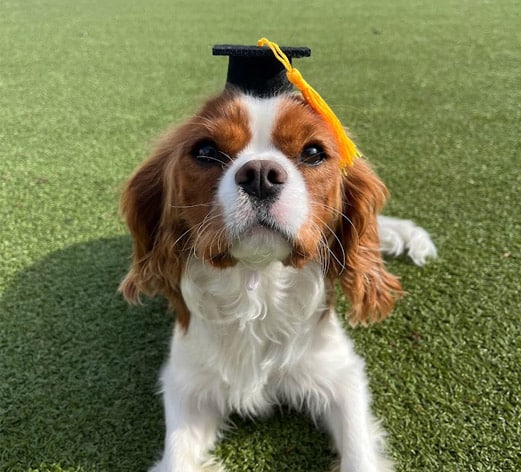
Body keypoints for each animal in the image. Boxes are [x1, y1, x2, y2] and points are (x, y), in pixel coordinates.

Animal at [119, 89, 434, 472]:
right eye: (206, 151)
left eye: (313, 152)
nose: (260, 174)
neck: (257, 281)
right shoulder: (186, 384)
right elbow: (178, 460)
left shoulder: (341, 374)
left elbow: (359, 455)